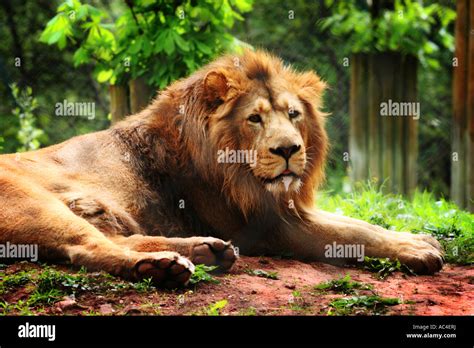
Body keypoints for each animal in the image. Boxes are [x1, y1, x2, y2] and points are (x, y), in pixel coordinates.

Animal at [0, 49, 444, 288]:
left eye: (294, 114)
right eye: (255, 118)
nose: (289, 149)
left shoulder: (282, 208)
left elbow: (356, 222)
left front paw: (419, 237)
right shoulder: (270, 226)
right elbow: (351, 232)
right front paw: (417, 250)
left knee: (114, 237)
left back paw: (201, 251)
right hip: (30, 203)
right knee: (86, 248)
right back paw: (161, 267)